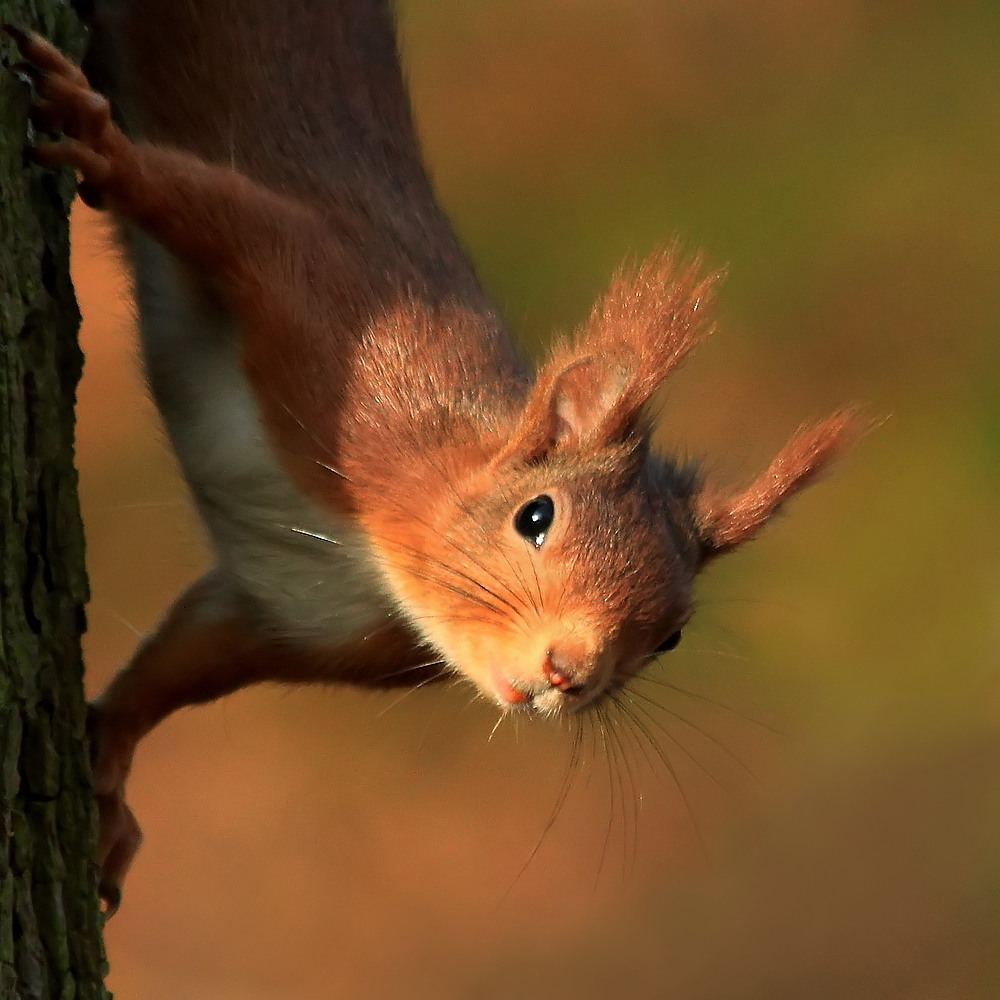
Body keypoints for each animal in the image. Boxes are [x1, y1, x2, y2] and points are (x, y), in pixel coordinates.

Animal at [3, 3, 856, 916]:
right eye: (535, 516)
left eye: (670, 638)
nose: (570, 672)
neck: (385, 539)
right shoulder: (326, 291)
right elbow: (204, 206)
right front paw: (97, 143)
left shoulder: (290, 616)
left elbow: (176, 663)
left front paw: (107, 778)